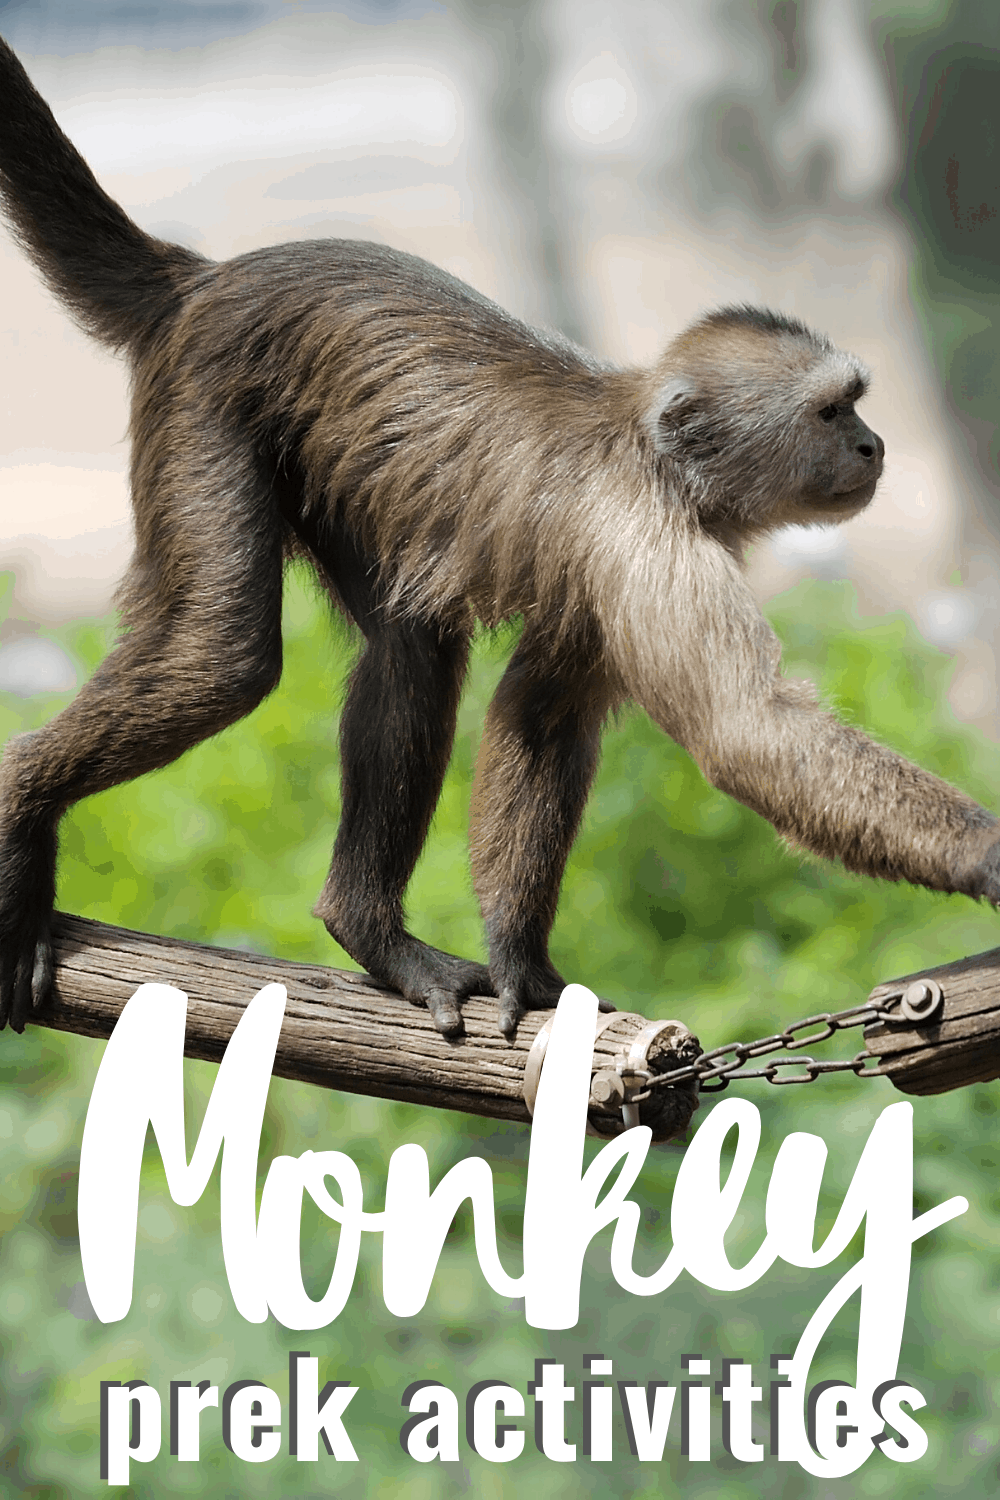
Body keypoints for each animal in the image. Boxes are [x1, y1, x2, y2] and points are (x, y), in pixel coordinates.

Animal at [0, 37, 998, 1046]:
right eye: (834, 413)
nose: (874, 446)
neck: (658, 462)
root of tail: (201, 276)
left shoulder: (610, 567)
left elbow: (542, 715)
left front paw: (522, 959)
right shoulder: (645, 543)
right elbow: (745, 731)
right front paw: (989, 853)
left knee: (410, 645)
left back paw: (366, 929)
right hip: (207, 394)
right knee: (223, 656)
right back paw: (21, 800)